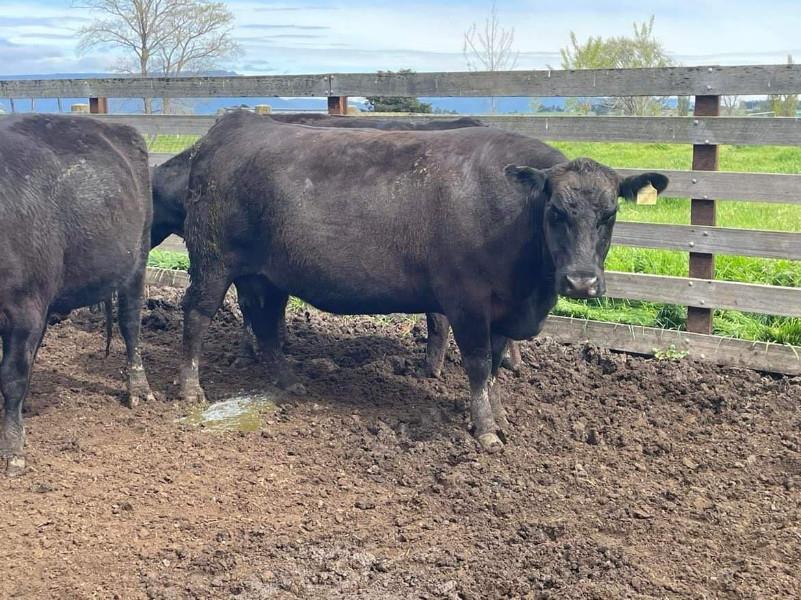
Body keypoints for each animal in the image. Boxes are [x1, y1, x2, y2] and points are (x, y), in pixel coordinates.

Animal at [0, 114, 155, 476]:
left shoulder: (22, 308)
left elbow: (11, 377)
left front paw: (13, 450)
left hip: (137, 258)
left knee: (131, 324)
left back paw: (139, 389)